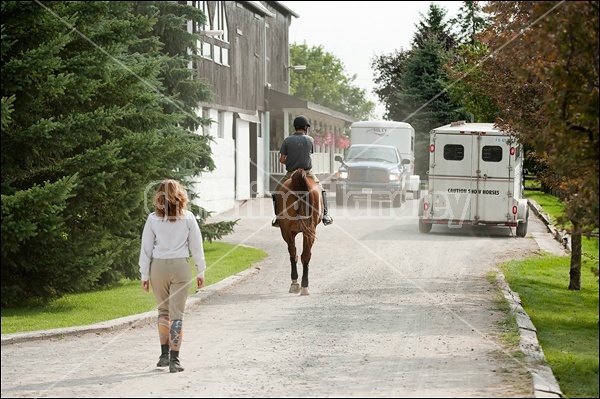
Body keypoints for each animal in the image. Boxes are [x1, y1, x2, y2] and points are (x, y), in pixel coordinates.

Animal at [276, 167, 324, 296]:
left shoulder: (288, 231)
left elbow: (293, 253)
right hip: (310, 230)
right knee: (305, 255)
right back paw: (304, 286)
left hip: (288, 230)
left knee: (294, 253)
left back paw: (296, 284)